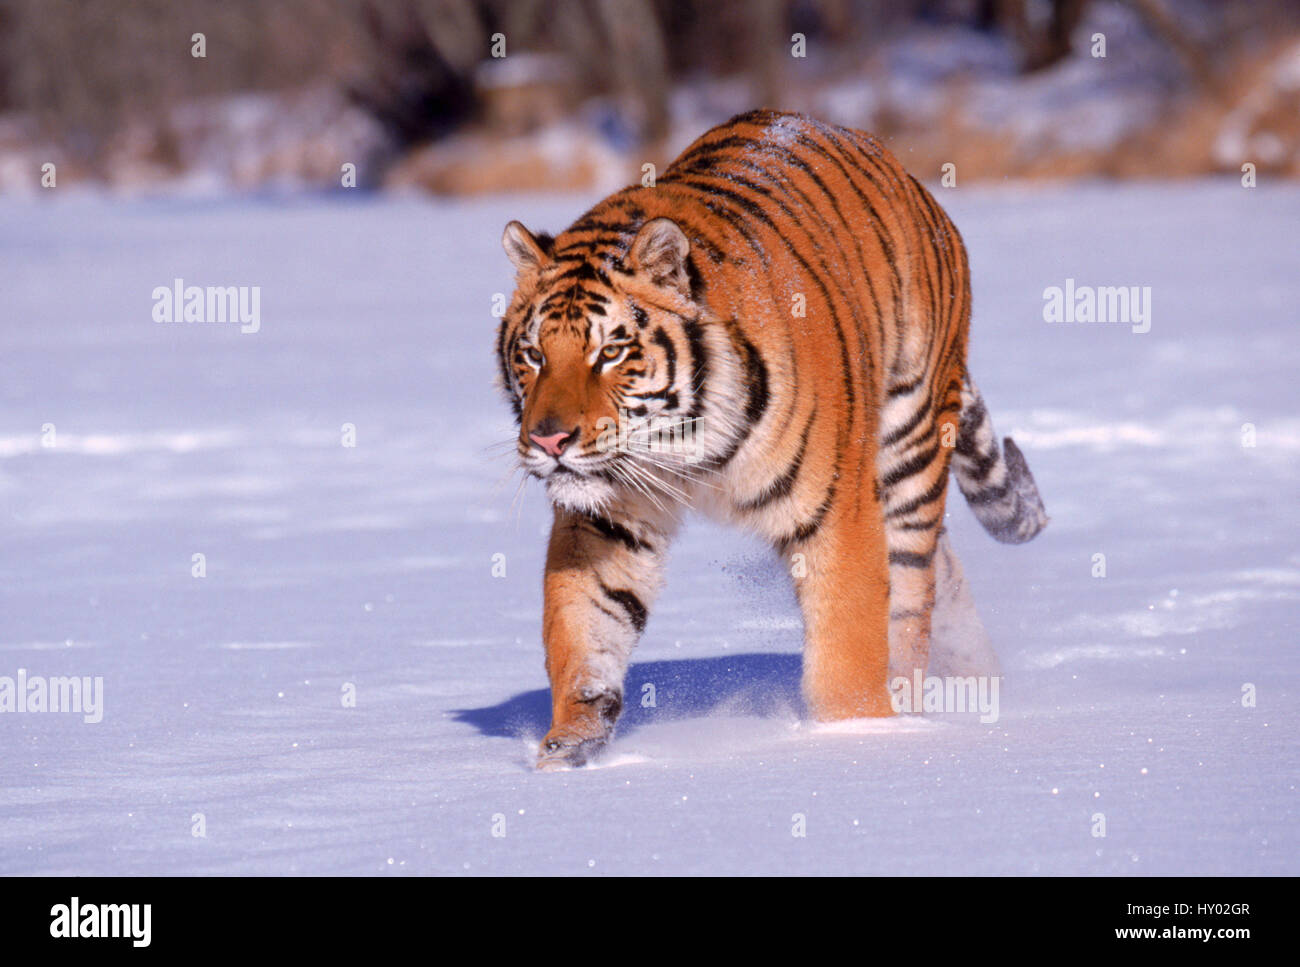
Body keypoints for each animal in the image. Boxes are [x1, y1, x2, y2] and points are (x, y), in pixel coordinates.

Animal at [491, 107, 1050, 769]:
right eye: (533, 354)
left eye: (610, 352)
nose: (550, 441)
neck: (682, 447)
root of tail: (904, 174)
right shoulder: (606, 518)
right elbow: (583, 625)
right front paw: (568, 746)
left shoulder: (837, 513)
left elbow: (848, 647)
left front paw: (859, 738)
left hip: (909, 447)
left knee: (914, 593)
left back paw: (915, 707)